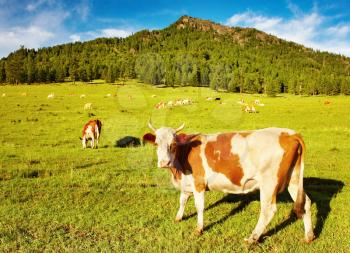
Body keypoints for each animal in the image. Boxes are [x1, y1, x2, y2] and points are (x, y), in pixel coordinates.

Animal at [146, 121, 314, 244]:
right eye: (156, 143)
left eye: (173, 144)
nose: (164, 162)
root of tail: (290, 134)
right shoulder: (186, 184)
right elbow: (182, 201)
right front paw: (178, 218)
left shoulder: (199, 183)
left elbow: (199, 206)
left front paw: (199, 229)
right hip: (293, 179)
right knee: (305, 203)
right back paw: (309, 236)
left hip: (269, 183)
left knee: (268, 210)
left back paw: (252, 238)